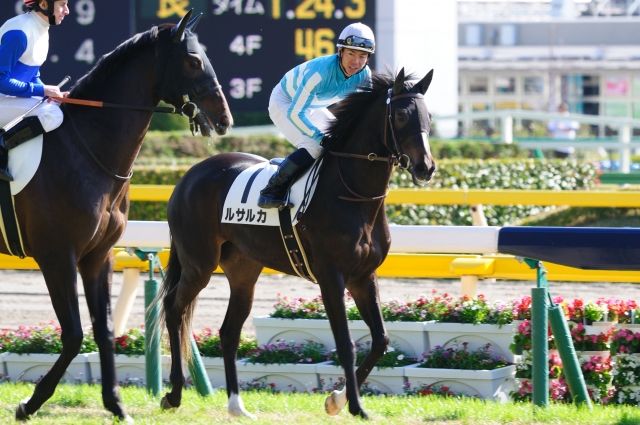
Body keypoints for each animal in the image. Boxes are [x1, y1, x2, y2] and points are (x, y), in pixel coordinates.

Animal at [6, 10, 232, 422]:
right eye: (193, 61)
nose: (224, 118)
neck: (84, 149)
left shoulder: (98, 256)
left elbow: (105, 329)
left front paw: (115, 402)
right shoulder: (56, 255)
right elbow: (74, 334)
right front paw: (32, 401)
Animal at [158, 67, 435, 419]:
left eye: (428, 115)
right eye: (400, 115)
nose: (425, 167)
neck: (352, 193)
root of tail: (187, 177)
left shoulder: (363, 276)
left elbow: (380, 340)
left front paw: (338, 400)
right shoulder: (331, 276)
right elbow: (346, 344)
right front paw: (353, 404)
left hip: (243, 270)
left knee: (228, 331)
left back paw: (237, 406)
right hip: (199, 264)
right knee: (173, 309)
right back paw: (173, 394)